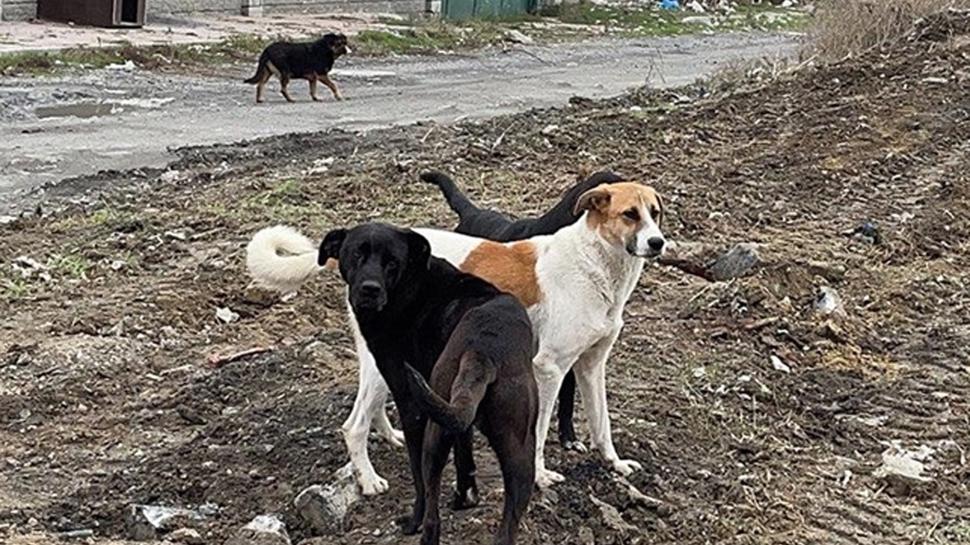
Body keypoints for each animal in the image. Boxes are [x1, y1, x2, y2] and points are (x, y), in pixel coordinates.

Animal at [324, 222, 536, 544]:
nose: (369, 290)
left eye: (392, 262)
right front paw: (465, 496)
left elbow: (419, 478)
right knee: (508, 527)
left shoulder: (411, 405)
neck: (411, 287)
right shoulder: (455, 411)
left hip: (433, 436)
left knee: (431, 509)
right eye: (356, 254)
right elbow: (464, 451)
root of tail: (483, 349)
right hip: (521, 452)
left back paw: (419, 523)